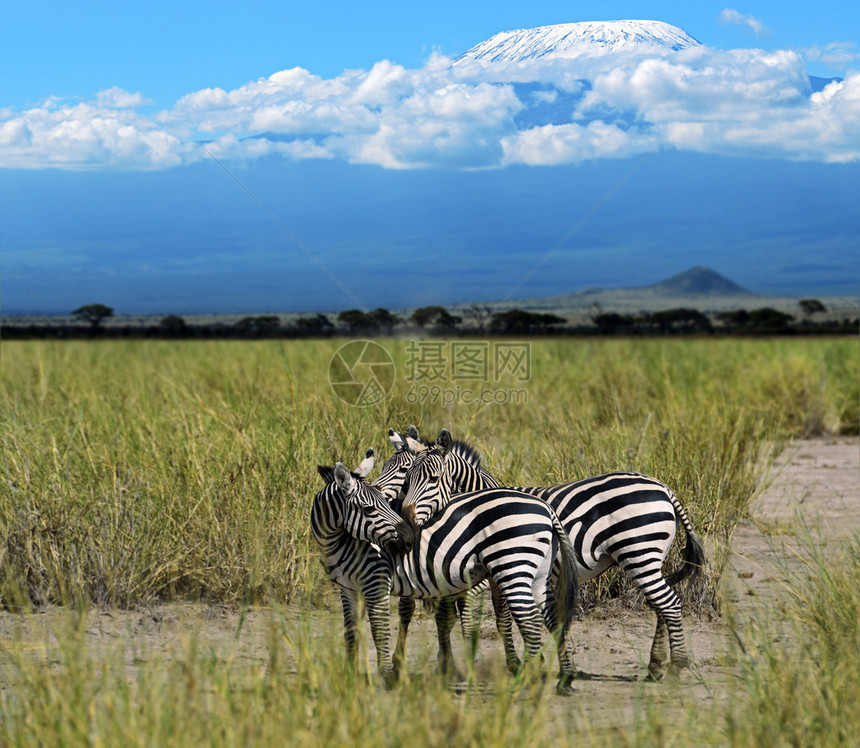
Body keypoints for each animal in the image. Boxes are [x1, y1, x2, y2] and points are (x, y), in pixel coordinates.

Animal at [310, 456, 576, 696]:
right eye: (369, 509)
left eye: (385, 503)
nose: (410, 539)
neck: (338, 541)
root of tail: (545, 507)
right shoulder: (348, 588)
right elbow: (351, 633)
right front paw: (349, 677)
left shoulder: (376, 579)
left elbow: (379, 629)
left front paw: (386, 678)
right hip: (538, 575)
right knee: (554, 619)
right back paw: (565, 679)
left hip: (512, 566)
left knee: (530, 621)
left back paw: (527, 681)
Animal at [396, 430, 704, 680]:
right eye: (406, 482)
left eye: (433, 479)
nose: (407, 523)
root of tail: (664, 488)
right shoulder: (498, 573)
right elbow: (499, 619)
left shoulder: (488, 574)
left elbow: (485, 618)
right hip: (650, 557)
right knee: (661, 605)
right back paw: (656, 665)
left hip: (639, 553)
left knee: (669, 603)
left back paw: (676, 666)